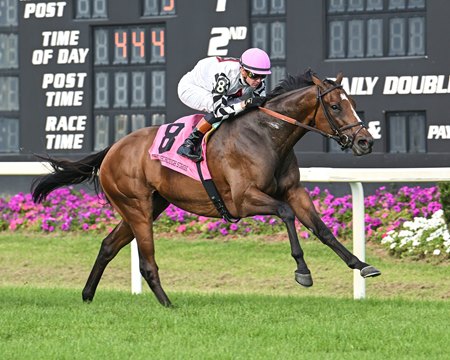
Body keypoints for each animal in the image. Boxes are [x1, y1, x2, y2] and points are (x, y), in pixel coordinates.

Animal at [32, 70, 380, 306]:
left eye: (353, 102)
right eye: (334, 106)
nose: (365, 142)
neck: (266, 135)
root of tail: (113, 149)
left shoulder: (295, 191)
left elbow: (322, 229)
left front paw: (361, 265)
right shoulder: (242, 200)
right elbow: (285, 214)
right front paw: (303, 271)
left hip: (150, 205)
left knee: (107, 245)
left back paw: (88, 295)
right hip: (137, 207)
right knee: (146, 261)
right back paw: (168, 304)